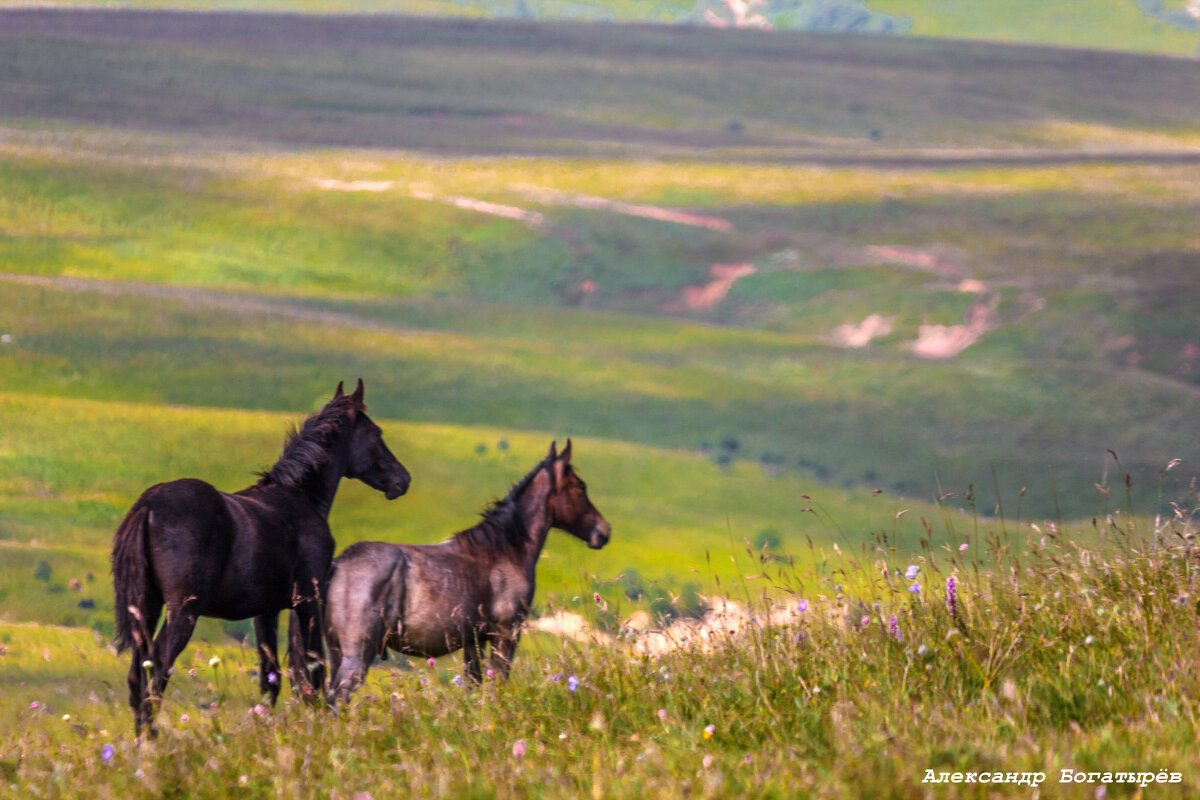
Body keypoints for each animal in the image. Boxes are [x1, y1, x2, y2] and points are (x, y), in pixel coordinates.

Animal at [112, 381, 412, 738]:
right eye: (377, 434)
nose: (402, 480)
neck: (298, 498)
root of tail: (148, 506)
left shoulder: (266, 612)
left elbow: (273, 679)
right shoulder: (308, 602)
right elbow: (313, 669)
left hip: (147, 606)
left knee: (138, 672)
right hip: (183, 611)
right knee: (157, 668)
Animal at [326, 441, 609, 705]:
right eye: (580, 486)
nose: (603, 531)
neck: (503, 549)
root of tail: (338, 565)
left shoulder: (474, 641)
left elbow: (474, 686)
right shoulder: (505, 634)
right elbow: (497, 685)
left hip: (336, 650)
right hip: (357, 654)